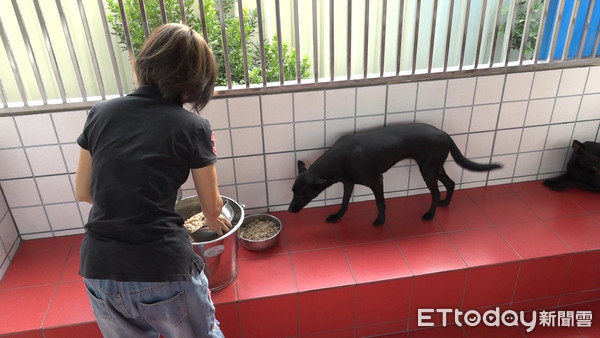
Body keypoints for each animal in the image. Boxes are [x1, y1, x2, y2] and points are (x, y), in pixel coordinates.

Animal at [288, 123, 504, 226]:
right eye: (292, 191)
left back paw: (430, 214)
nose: (289, 210)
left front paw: (381, 221)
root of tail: (443, 133)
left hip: (427, 171)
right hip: (435, 168)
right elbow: (344, 203)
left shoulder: (376, 181)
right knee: (450, 183)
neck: (339, 158)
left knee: (435, 193)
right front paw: (337, 216)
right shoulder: (348, 182)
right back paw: (445, 203)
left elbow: (380, 203)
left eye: (303, 195)